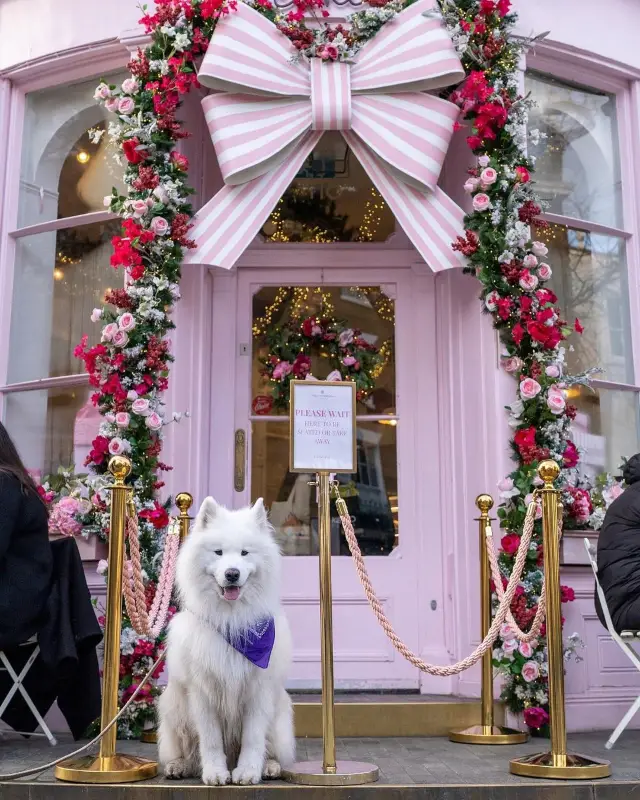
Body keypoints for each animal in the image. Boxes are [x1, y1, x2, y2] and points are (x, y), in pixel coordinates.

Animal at [158, 496, 296, 784]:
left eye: (245, 553)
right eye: (218, 552)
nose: (232, 573)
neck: (231, 621)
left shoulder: (258, 691)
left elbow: (253, 739)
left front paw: (247, 772)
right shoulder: (203, 692)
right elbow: (210, 741)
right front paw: (216, 773)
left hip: (280, 719)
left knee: (273, 750)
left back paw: (270, 767)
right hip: (173, 708)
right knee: (184, 750)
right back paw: (178, 766)